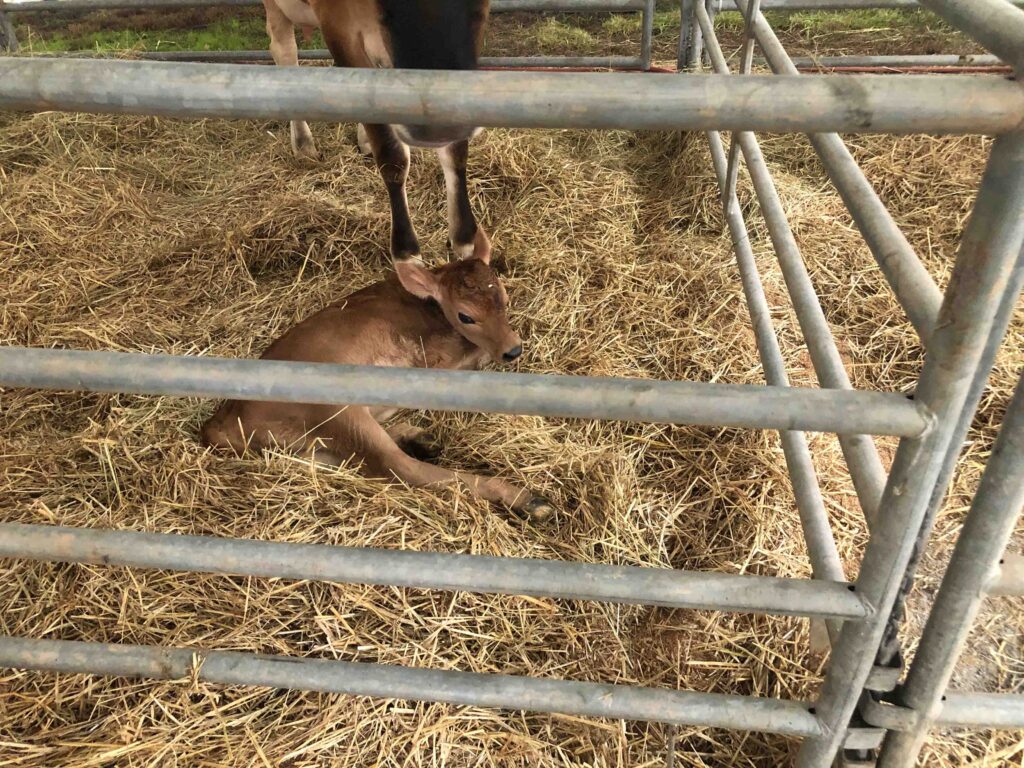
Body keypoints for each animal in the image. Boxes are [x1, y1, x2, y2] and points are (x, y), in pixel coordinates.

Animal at [203, 256, 557, 520]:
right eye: (466, 316)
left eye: (504, 299)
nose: (513, 349)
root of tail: (222, 419)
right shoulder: (438, 359)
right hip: (335, 409)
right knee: (398, 467)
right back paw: (525, 499)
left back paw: (419, 438)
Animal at [266, 0, 493, 264]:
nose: (437, 125)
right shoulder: (339, 28)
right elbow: (391, 154)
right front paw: (407, 250)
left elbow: (456, 150)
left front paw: (465, 237)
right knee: (284, 52)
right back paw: (303, 144)